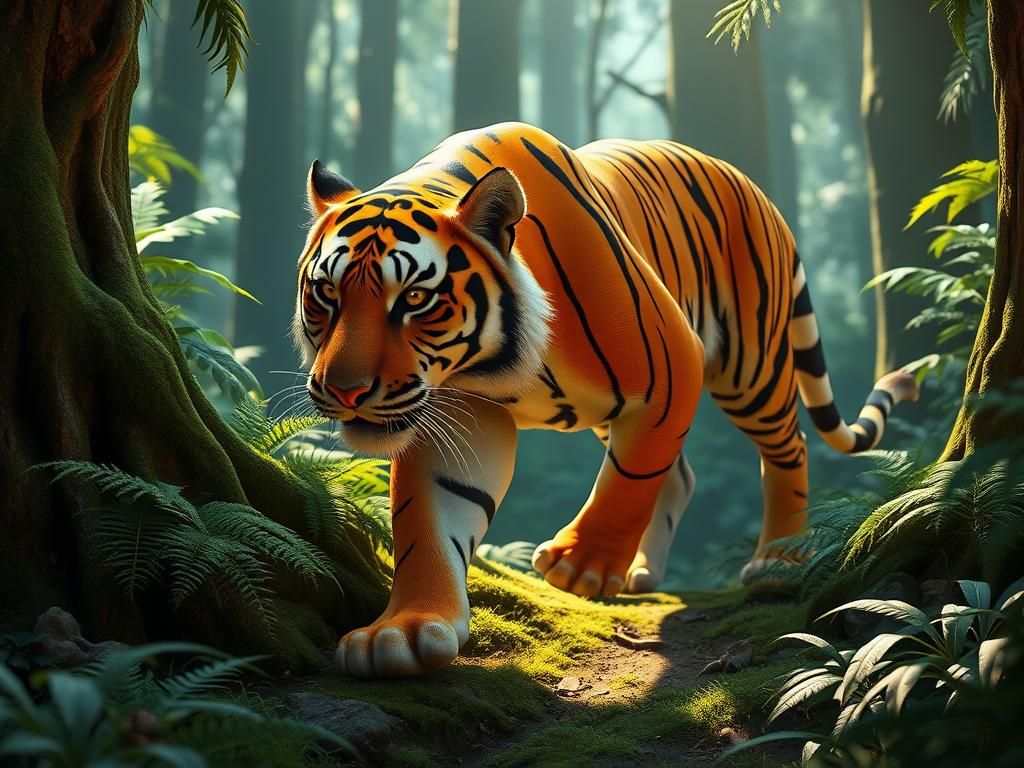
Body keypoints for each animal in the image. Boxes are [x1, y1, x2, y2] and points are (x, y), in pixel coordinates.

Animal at [294, 122, 918, 679]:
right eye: (326, 293)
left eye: (415, 299)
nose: (346, 389)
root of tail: (754, 187)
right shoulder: (462, 409)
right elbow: (429, 518)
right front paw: (403, 630)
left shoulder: (676, 363)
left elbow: (629, 480)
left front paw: (581, 566)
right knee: (681, 473)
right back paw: (642, 573)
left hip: (751, 367)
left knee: (787, 449)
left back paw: (777, 560)